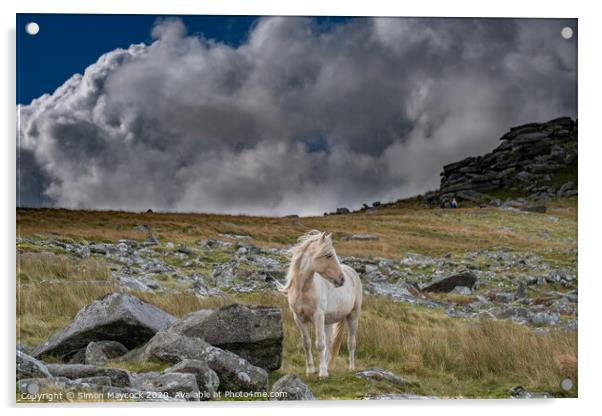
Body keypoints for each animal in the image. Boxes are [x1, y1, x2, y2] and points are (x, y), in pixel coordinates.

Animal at [278, 229, 358, 378]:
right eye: (328, 255)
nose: (342, 279)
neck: (303, 290)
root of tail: (351, 272)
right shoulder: (298, 319)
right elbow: (307, 343)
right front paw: (310, 370)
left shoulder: (318, 316)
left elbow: (320, 344)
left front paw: (322, 373)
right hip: (328, 321)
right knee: (330, 342)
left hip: (353, 316)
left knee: (351, 342)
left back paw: (351, 367)